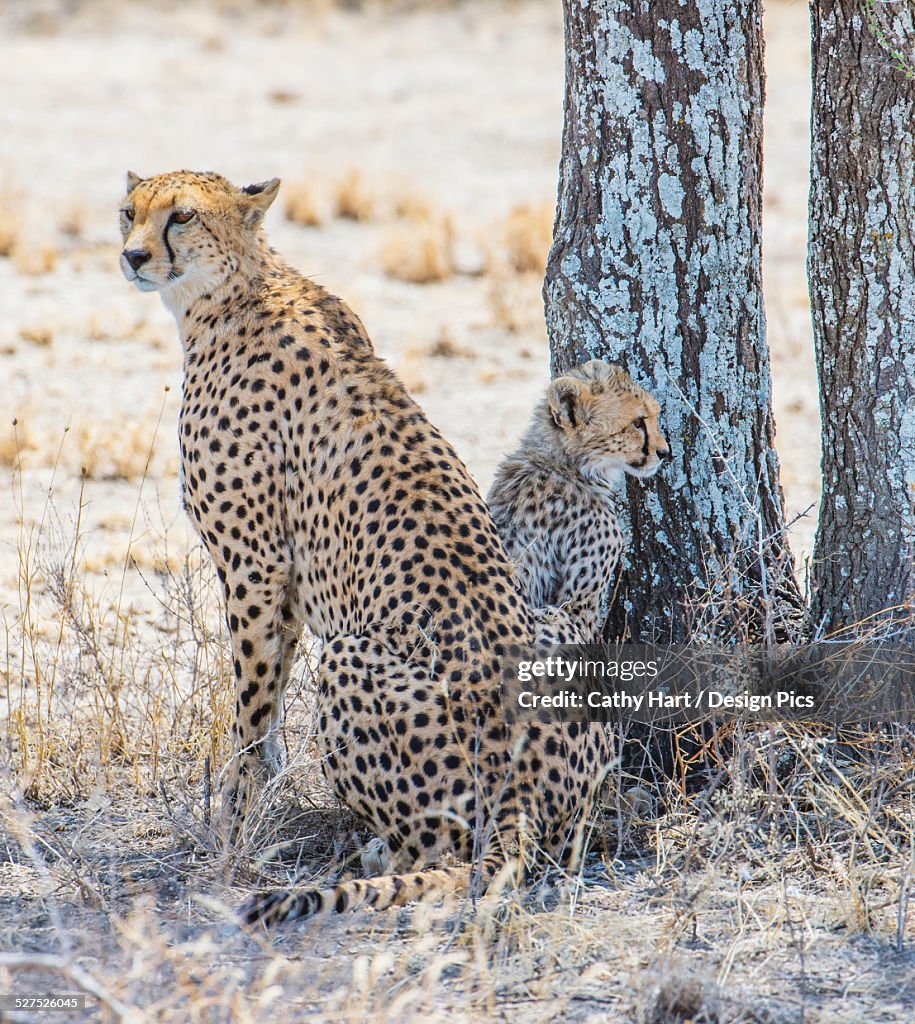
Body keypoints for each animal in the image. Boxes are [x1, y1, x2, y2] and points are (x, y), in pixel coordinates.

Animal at [118, 172, 614, 925]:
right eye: (129, 212)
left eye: (182, 217)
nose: (133, 256)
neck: (234, 290)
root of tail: (525, 792)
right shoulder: (289, 581)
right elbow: (269, 707)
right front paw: (258, 795)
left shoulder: (254, 564)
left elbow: (250, 707)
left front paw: (232, 824)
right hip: (564, 655)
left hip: (353, 659)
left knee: (448, 853)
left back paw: (382, 855)